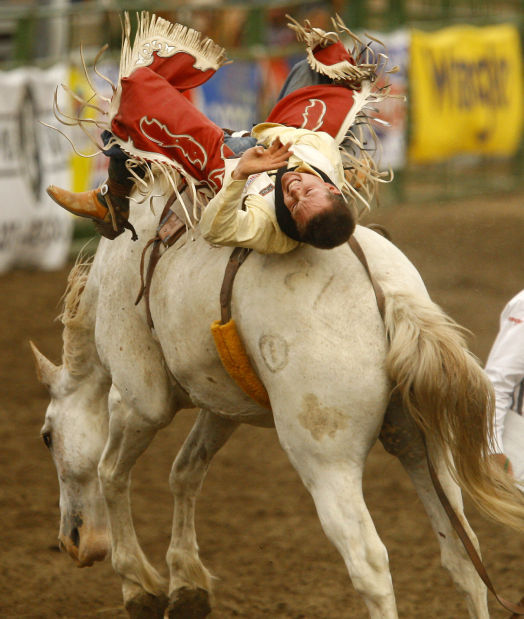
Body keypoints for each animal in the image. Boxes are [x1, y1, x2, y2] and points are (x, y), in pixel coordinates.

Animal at [32, 177, 524, 616]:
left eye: (47, 437)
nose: (74, 544)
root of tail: (388, 295)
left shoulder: (138, 397)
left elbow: (111, 472)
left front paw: (140, 586)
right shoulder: (222, 403)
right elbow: (185, 472)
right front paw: (188, 583)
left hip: (325, 460)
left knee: (369, 562)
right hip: (421, 445)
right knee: (463, 553)